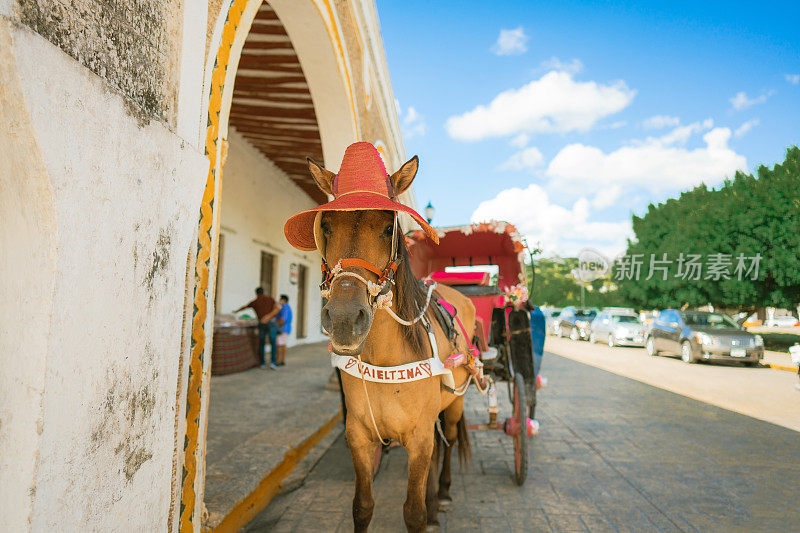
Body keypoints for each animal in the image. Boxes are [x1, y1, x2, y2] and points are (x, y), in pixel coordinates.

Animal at [310, 156, 476, 528]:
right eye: (326, 225)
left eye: (389, 228)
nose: (343, 320)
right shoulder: (358, 436)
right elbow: (362, 506)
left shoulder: (419, 437)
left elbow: (413, 512)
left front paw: (427, 508)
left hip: (455, 404)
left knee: (449, 440)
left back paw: (443, 493)